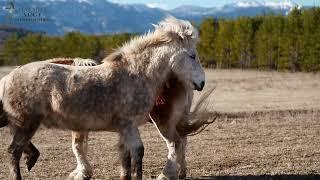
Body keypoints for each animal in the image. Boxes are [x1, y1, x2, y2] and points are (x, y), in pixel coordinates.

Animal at [0, 17, 205, 180]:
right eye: (192, 56)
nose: (201, 83)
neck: (136, 74)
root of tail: (8, 78)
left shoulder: (124, 128)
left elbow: (126, 158)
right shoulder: (128, 125)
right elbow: (137, 154)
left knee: (178, 142)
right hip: (27, 123)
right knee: (14, 152)